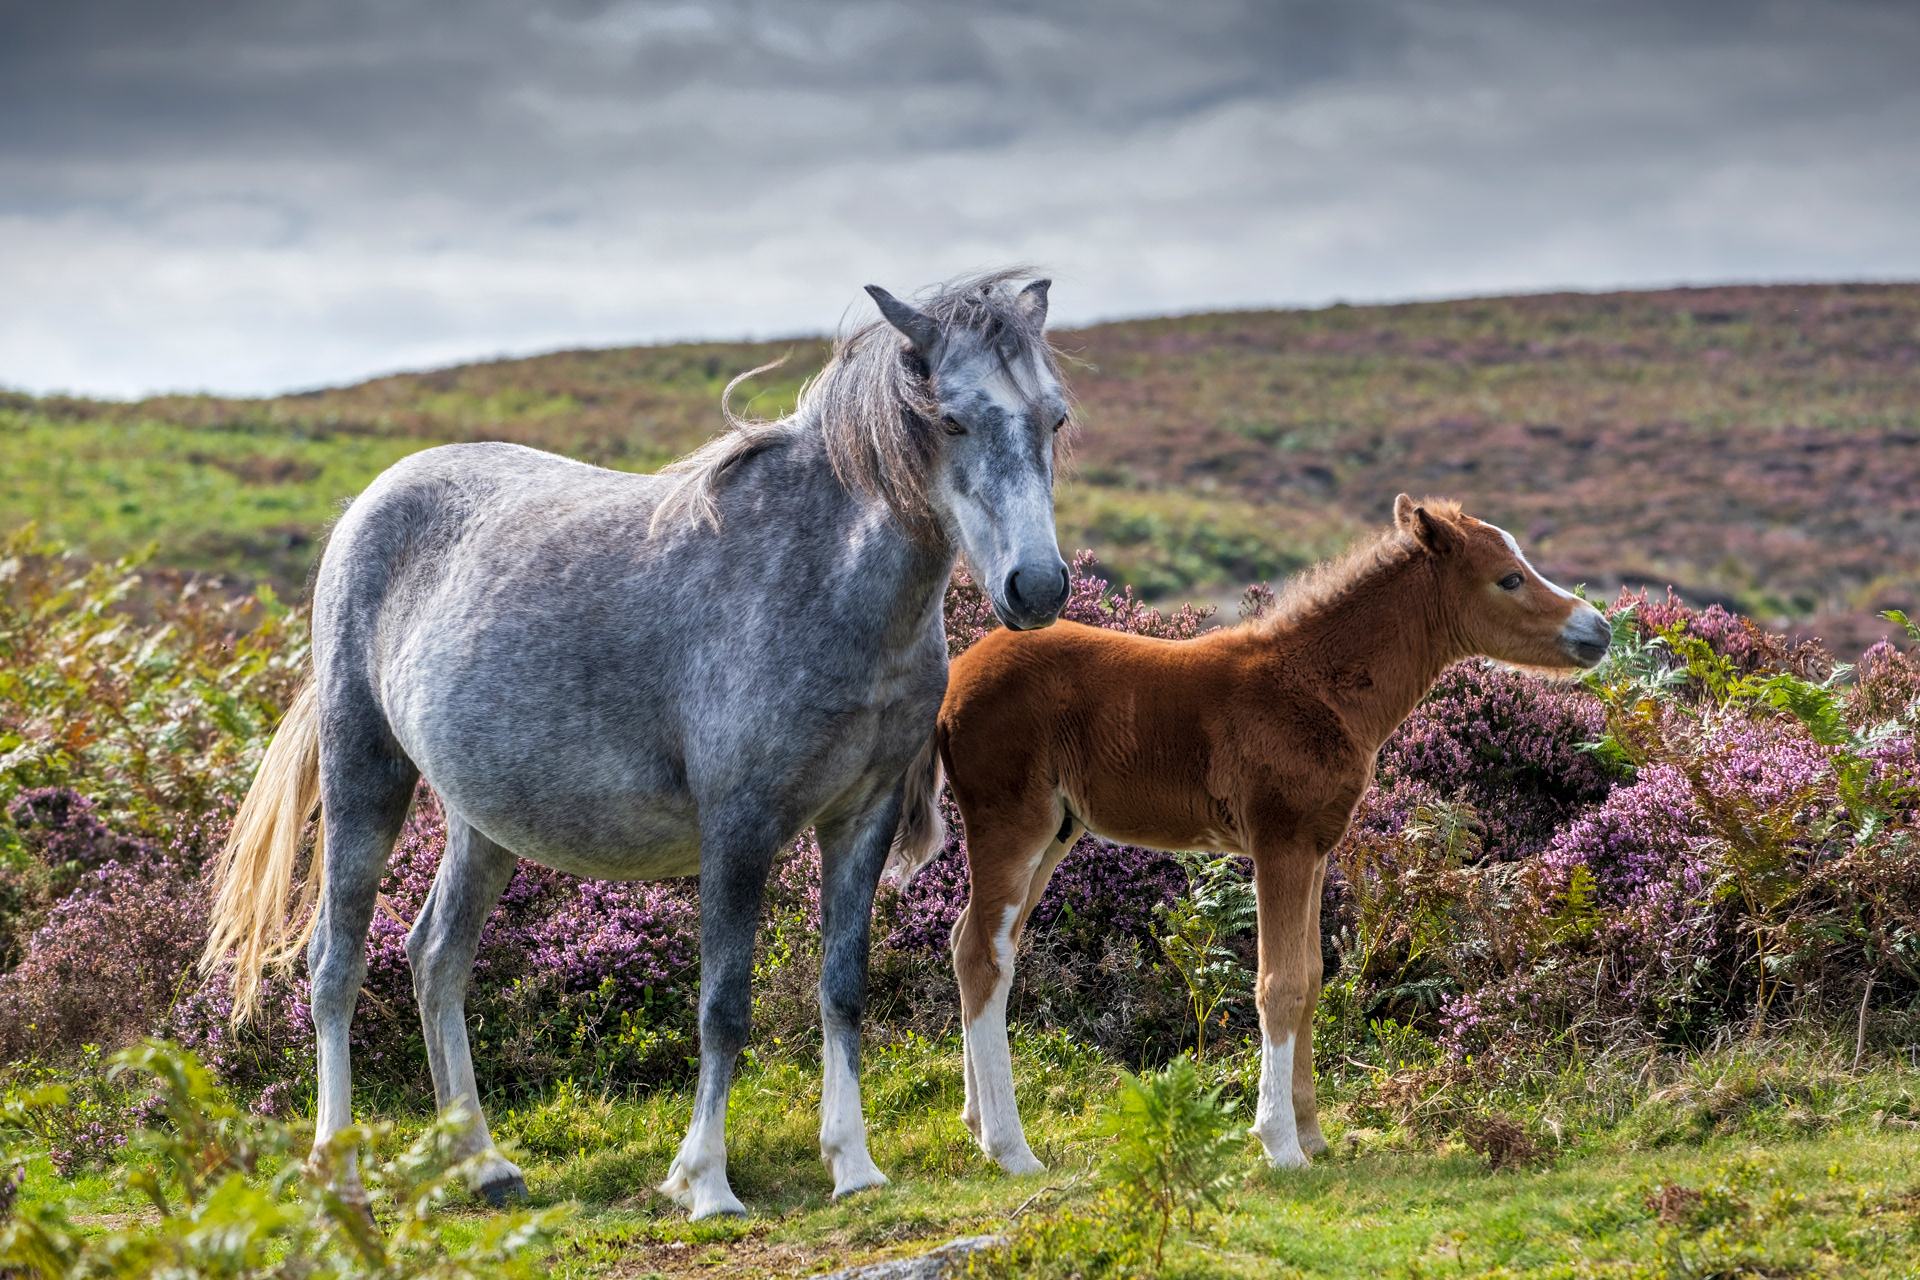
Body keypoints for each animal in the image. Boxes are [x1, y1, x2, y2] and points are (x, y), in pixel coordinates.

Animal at [202, 270, 1076, 1220]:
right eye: (951, 419)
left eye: (1054, 419)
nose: (1037, 586)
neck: (816, 583)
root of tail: (369, 504)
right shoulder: (739, 830)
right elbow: (723, 1007)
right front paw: (706, 1182)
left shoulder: (860, 823)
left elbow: (842, 990)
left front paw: (853, 1166)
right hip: (366, 777)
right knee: (336, 964)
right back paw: (342, 1173)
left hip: (483, 824)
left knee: (435, 959)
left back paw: (482, 1162)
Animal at [893, 495, 1612, 1174]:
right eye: (1509, 579)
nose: (1599, 629)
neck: (1317, 688)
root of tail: (954, 680)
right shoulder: (1279, 843)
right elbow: (1279, 984)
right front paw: (1279, 1144)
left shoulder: (1317, 850)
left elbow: (1313, 978)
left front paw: (1313, 1134)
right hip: (1011, 821)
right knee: (983, 955)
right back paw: (1011, 1149)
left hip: (1055, 833)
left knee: (973, 944)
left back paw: (977, 1125)